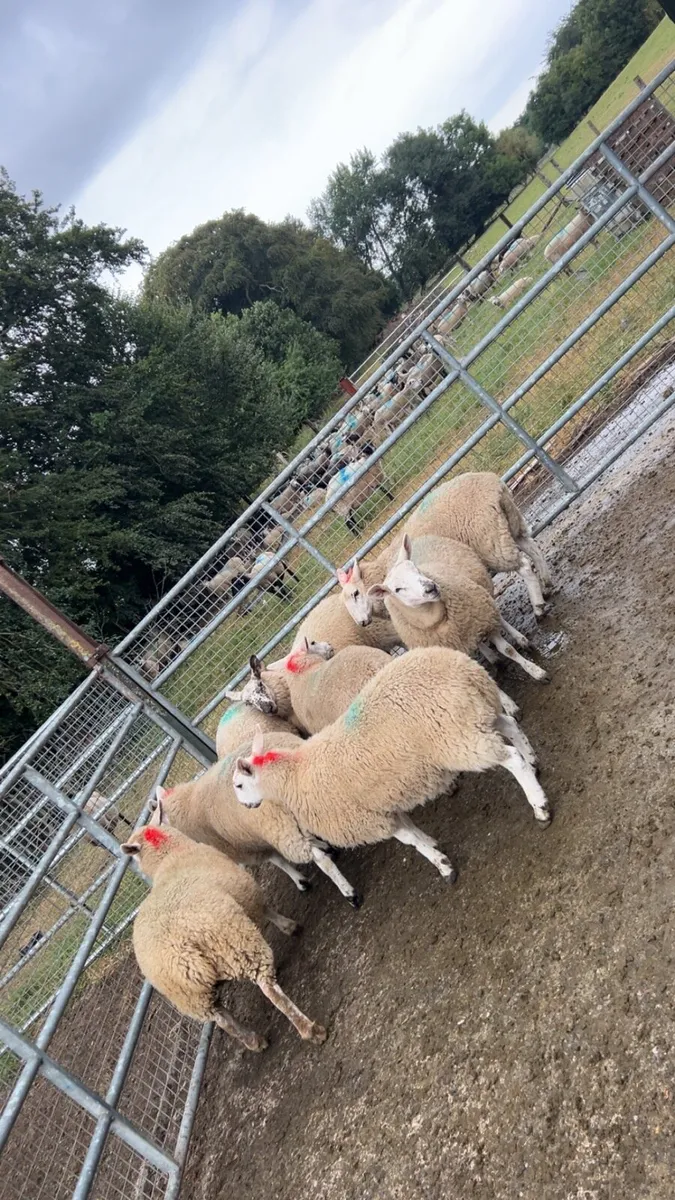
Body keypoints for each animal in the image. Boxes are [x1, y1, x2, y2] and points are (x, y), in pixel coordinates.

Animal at [121, 808, 327, 1049]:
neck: (170, 856)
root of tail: (182, 954)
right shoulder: (246, 888)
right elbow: (266, 908)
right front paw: (289, 926)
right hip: (237, 943)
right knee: (269, 990)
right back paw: (311, 1030)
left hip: (192, 998)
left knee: (223, 1020)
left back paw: (255, 1041)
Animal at [157, 732, 361, 905]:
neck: (188, 805)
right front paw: (325, 849)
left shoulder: (251, 845)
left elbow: (277, 860)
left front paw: (301, 881)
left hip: (279, 829)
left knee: (320, 860)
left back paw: (349, 893)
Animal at [231, 648, 551, 890]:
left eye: (238, 785)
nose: (246, 806)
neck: (294, 775)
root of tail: (457, 667)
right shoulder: (383, 806)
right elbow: (413, 831)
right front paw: (434, 845)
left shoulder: (368, 820)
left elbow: (410, 842)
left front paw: (444, 867)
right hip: (475, 716)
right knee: (511, 726)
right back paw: (534, 761)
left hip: (456, 738)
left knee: (511, 758)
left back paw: (540, 806)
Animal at [368, 534, 548, 682]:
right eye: (397, 589)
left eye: (414, 567)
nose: (430, 588)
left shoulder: (481, 618)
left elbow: (507, 649)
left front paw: (536, 671)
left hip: (481, 597)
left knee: (498, 617)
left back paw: (521, 639)